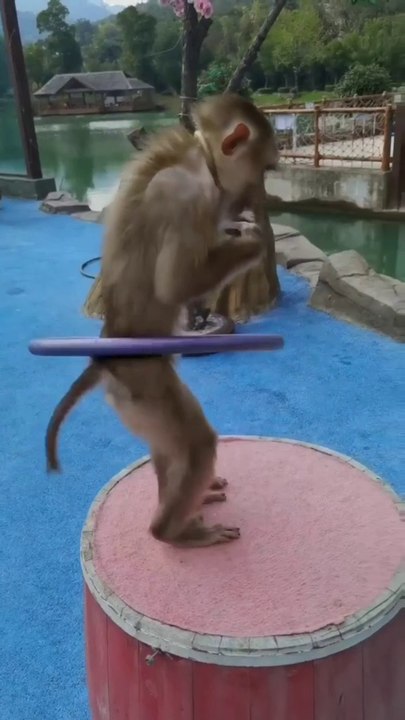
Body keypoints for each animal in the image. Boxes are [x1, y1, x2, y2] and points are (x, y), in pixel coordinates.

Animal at [46, 93, 279, 548]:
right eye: (263, 167)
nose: (258, 195)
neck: (200, 159)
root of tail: (107, 355)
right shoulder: (185, 195)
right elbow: (173, 285)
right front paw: (252, 240)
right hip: (144, 385)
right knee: (196, 443)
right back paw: (172, 532)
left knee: (169, 448)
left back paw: (194, 501)